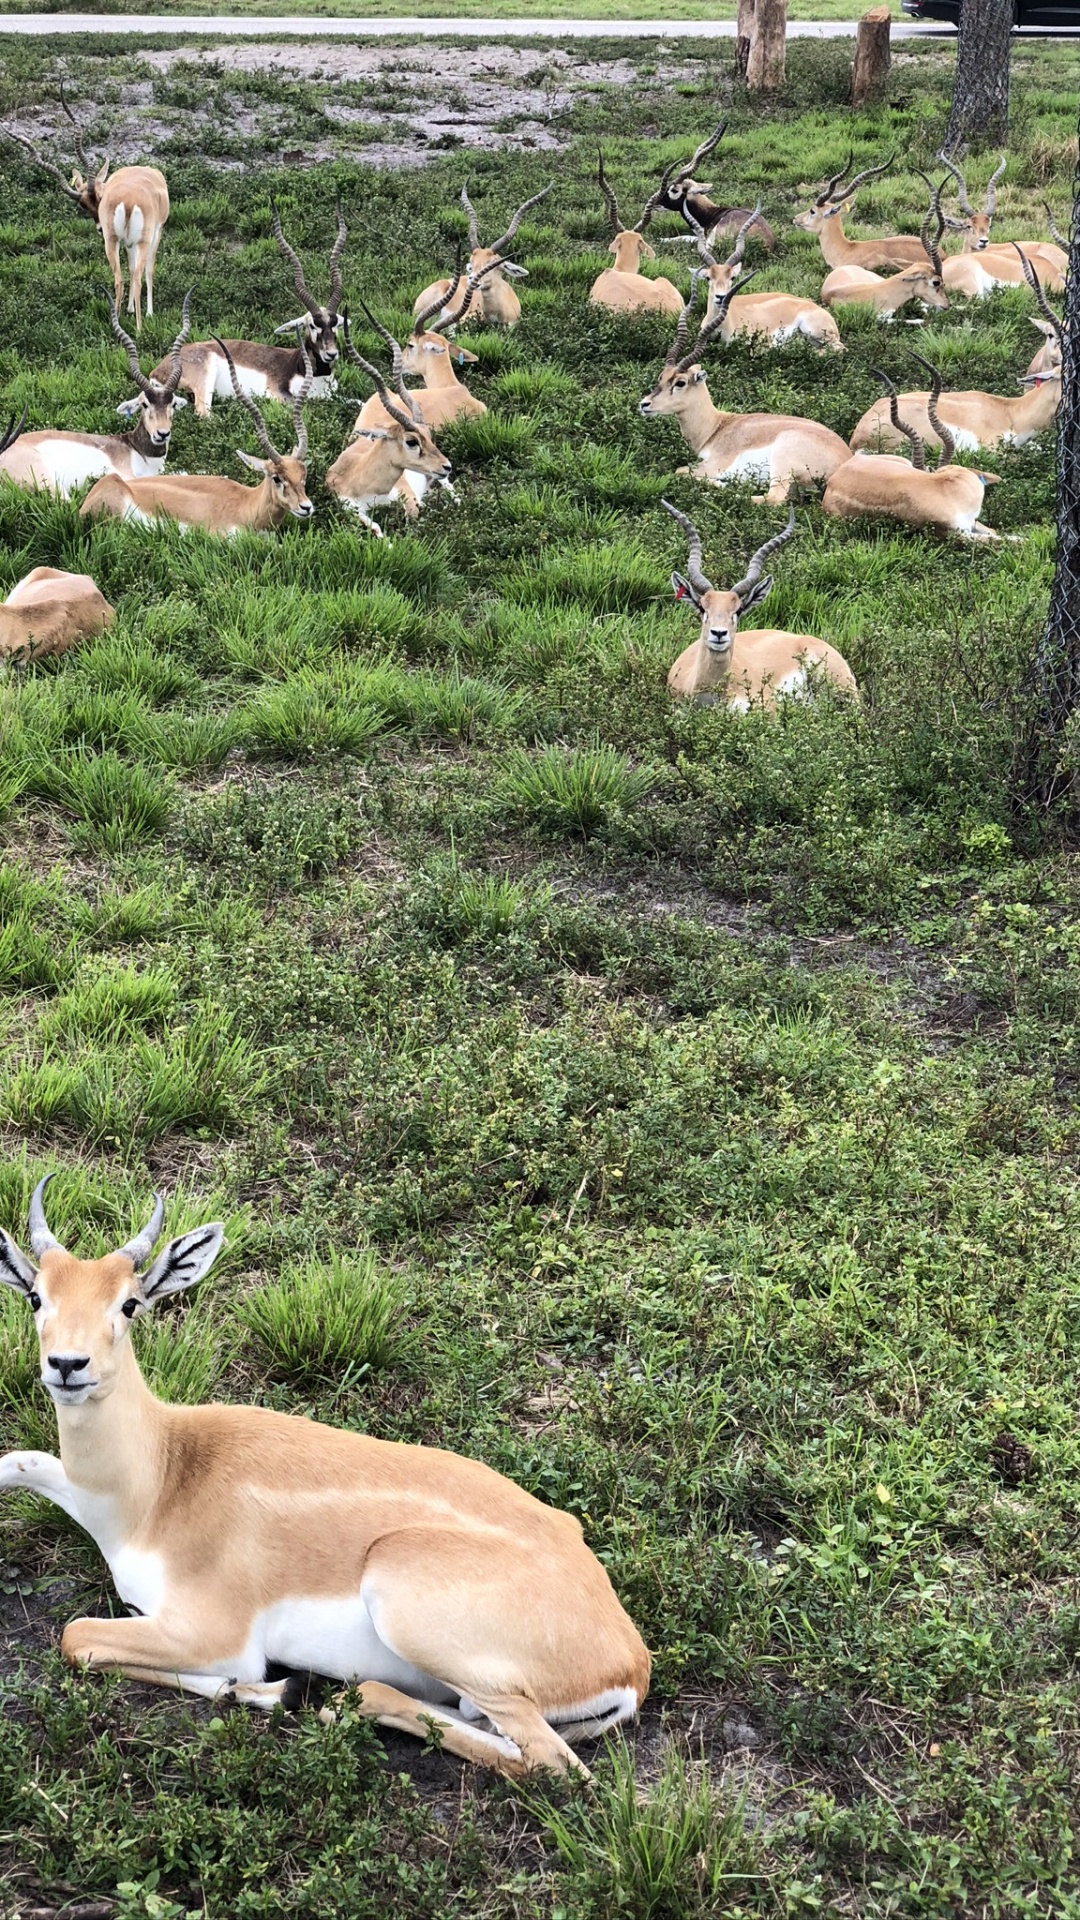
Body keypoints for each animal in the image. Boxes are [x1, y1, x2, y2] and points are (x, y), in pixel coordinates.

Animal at [0, 1181, 649, 1777]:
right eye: (35, 1295)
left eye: (130, 1302)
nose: (67, 1365)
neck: (160, 1484)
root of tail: (630, 1661)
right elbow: (19, 1460)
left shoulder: (212, 1632)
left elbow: (77, 1636)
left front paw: (262, 1689)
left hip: (406, 1599)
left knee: (550, 1761)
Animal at [3, 87, 168, 331]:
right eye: (83, 205)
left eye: (95, 199)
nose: (98, 228)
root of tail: (128, 200)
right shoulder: (156, 233)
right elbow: (148, 269)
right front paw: (147, 313)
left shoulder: (125, 242)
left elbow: (129, 267)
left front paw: (129, 309)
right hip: (142, 240)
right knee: (138, 275)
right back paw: (138, 329)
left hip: (111, 241)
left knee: (119, 277)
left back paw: (115, 322)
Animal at [151, 202, 348, 415]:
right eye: (312, 325)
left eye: (336, 323)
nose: (331, 354)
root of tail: (158, 369)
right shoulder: (278, 395)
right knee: (203, 413)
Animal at [326, 320, 452, 536]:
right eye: (411, 441)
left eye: (429, 435)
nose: (447, 466)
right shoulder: (352, 510)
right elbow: (379, 531)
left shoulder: (408, 496)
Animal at [639, 280, 852, 506]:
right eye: (661, 377)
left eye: (680, 382)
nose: (644, 404)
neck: (716, 428)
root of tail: (844, 460)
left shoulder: (713, 464)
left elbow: (679, 470)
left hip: (782, 464)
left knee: (772, 498)